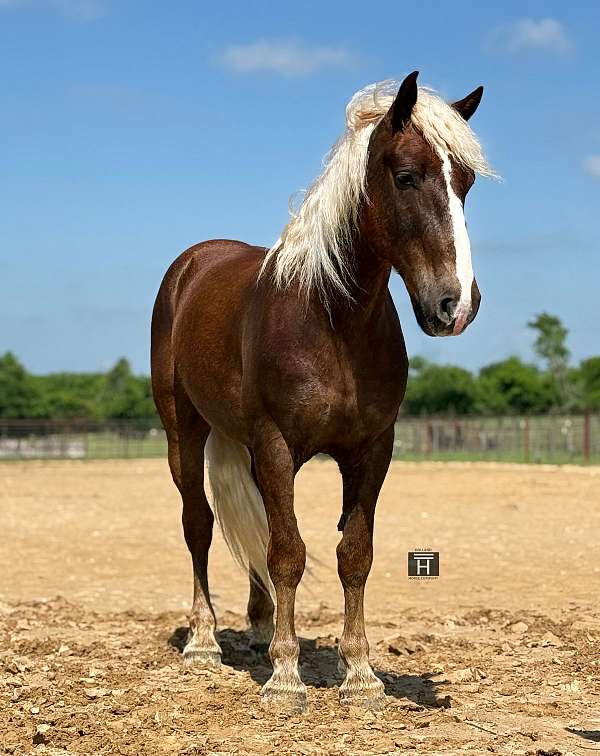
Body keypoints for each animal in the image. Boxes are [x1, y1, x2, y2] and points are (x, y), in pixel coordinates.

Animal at [151, 71, 495, 713]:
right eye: (406, 175)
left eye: (465, 183)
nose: (455, 304)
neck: (333, 323)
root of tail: (192, 265)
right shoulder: (277, 446)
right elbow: (288, 552)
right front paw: (286, 678)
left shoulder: (372, 451)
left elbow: (352, 554)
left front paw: (360, 673)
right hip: (184, 431)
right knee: (198, 524)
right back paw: (205, 641)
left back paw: (260, 627)